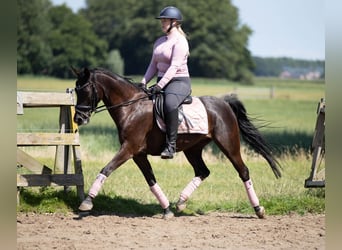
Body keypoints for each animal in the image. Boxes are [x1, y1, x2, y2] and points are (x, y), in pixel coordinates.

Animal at [72, 67, 280, 219]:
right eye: (75, 90)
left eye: (85, 90)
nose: (79, 119)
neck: (132, 107)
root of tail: (224, 104)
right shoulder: (138, 154)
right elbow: (151, 180)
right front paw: (167, 209)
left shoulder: (129, 149)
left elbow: (106, 169)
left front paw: (87, 202)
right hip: (192, 149)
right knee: (203, 171)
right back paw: (181, 202)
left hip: (229, 145)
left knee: (243, 171)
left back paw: (258, 209)